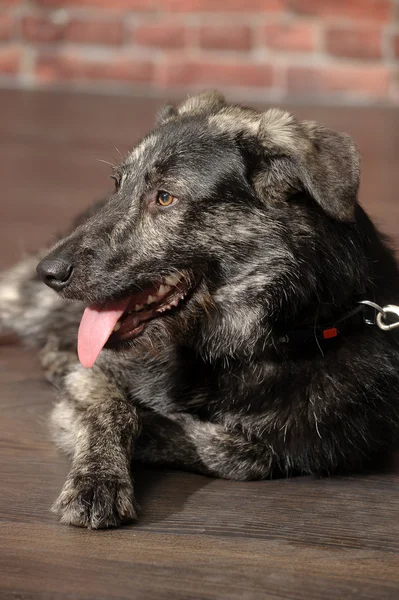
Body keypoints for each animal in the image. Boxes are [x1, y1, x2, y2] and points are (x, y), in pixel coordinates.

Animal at [0, 90, 399, 528]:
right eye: (119, 186)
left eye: (165, 197)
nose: (48, 272)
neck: (240, 345)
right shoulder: (95, 373)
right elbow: (112, 409)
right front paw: (97, 480)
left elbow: (247, 453)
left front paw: (154, 430)